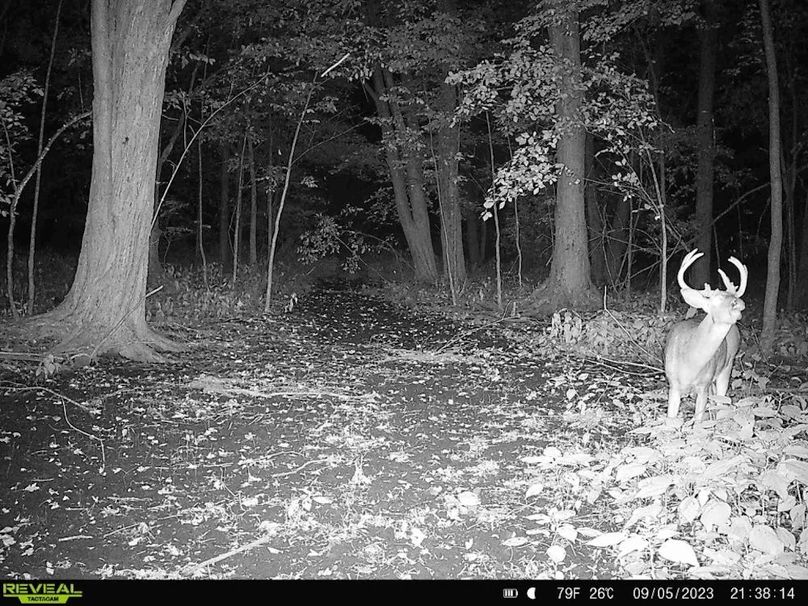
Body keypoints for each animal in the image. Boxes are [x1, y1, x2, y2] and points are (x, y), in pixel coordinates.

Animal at [664, 249, 748, 422]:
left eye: (733, 297)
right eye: (715, 301)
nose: (737, 303)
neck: (690, 363)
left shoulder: (704, 384)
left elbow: (698, 422)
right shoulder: (673, 384)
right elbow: (670, 419)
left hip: (727, 366)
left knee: (721, 401)